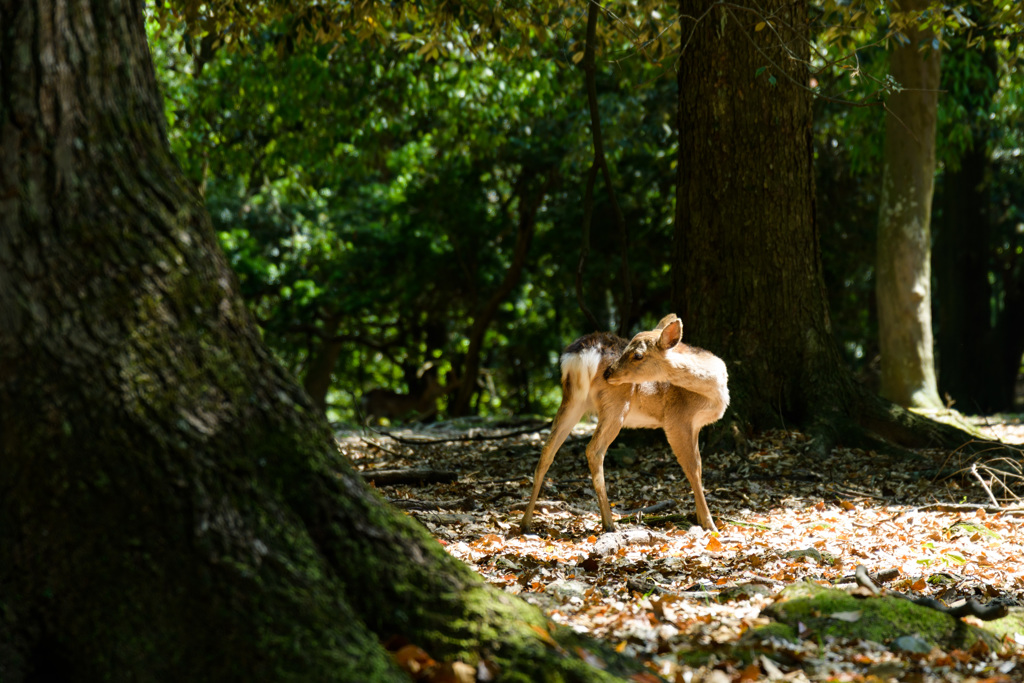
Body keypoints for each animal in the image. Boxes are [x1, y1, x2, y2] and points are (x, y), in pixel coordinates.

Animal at [520, 313, 729, 532]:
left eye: (637, 355)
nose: (608, 373)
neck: (713, 393)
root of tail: (580, 355)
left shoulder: (695, 426)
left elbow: (698, 465)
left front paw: (699, 518)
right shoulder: (677, 419)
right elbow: (693, 468)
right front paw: (709, 524)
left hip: (573, 400)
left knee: (547, 450)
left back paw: (525, 524)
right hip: (616, 404)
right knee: (594, 450)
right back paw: (609, 523)